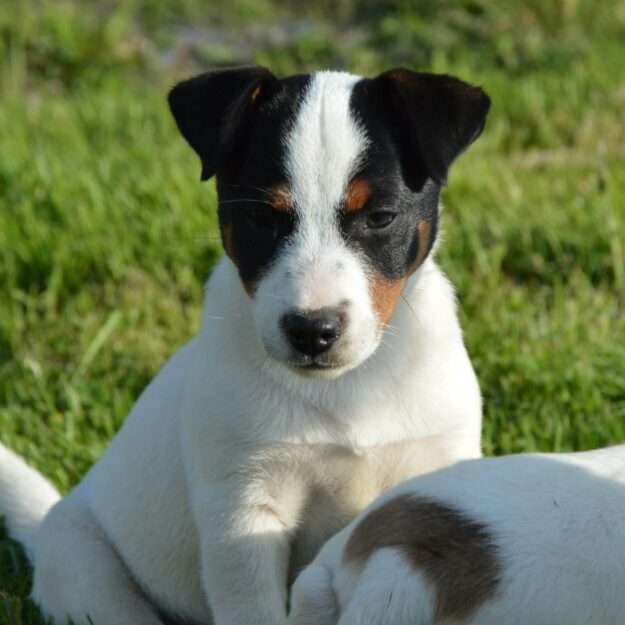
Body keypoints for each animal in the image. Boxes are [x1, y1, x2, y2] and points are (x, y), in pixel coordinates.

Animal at [0, 67, 488, 624]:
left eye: (381, 216)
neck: (349, 387)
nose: (312, 330)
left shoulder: (435, 468)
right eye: (262, 216)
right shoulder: (243, 513)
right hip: (90, 573)